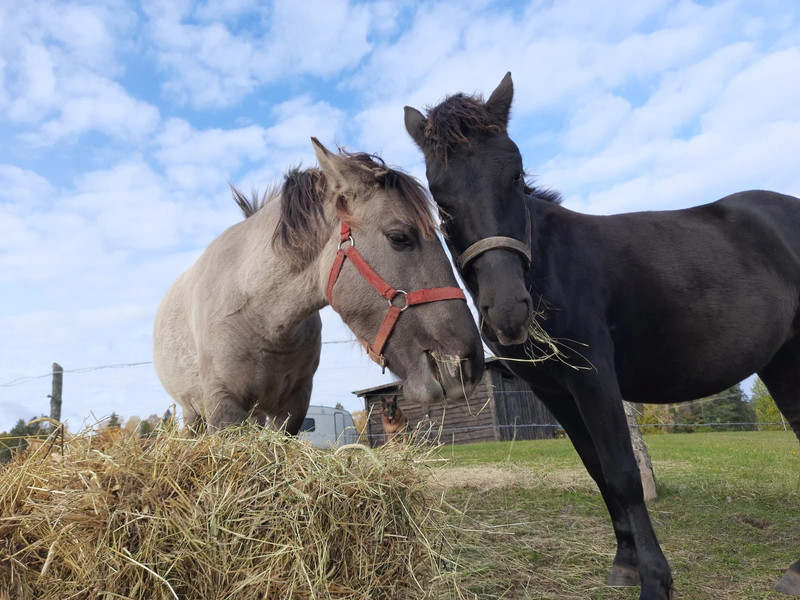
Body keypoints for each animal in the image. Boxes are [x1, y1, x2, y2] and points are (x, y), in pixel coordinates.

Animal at [154, 138, 484, 434]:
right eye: (398, 237)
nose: (467, 363)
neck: (261, 316)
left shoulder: (293, 407)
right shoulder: (224, 408)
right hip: (192, 413)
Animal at [406, 76, 800, 600]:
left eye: (514, 173)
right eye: (440, 196)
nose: (509, 311)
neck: (549, 264)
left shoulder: (594, 379)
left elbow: (622, 473)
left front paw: (655, 580)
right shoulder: (553, 392)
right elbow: (596, 469)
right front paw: (626, 564)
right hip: (783, 361)